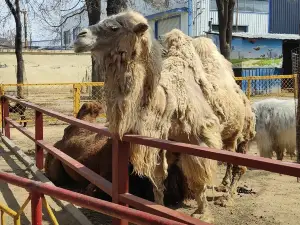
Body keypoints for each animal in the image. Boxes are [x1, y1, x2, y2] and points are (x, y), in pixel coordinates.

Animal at [72, 10, 223, 221]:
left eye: (114, 27)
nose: (80, 37)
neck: (166, 103)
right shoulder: (156, 141)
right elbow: (158, 180)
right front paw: (157, 209)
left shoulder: (199, 137)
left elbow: (199, 177)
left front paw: (203, 214)